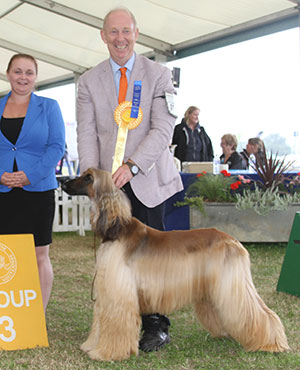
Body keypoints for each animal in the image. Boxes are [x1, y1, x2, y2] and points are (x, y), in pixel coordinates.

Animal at [62, 168, 290, 362]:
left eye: (88, 177)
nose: (63, 182)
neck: (117, 228)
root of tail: (233, 240)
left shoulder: (119, 292)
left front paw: (106, 353)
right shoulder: (106, 290)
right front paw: (91, 346)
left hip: (232, 285)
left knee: (261, 312)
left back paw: (272, 343)